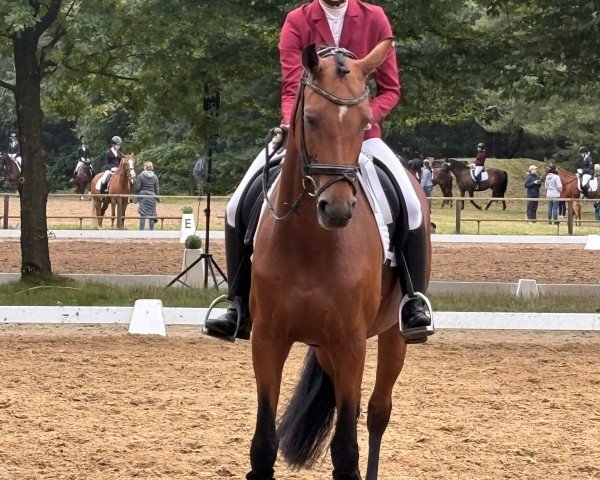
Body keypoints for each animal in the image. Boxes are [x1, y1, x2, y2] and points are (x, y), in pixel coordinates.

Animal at [248, 40, 432, 480]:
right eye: (310, 119)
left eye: (365, 123)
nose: (337, 209)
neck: (310, 243)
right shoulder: (267, 340)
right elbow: (263, 446)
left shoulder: (351, 344)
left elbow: (346, 451)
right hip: (324, 348)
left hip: (390, 335)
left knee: (377, 412)